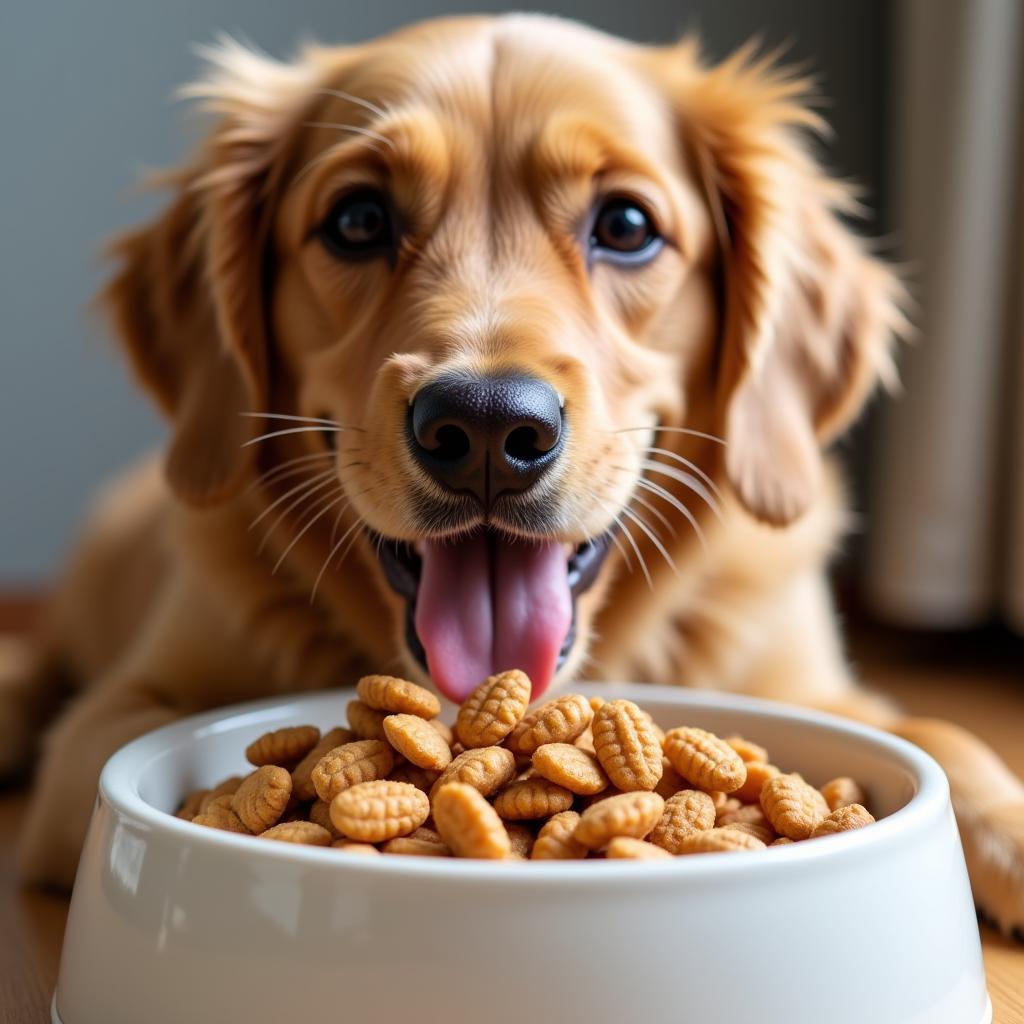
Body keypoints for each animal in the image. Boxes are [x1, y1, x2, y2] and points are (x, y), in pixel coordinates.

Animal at [4, 12, 1019, 933]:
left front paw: (1002, 830)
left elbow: (942, 734)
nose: (488, 428)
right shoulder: (110, 725)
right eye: (358, 220)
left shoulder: (815, 687)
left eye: (627, 225)